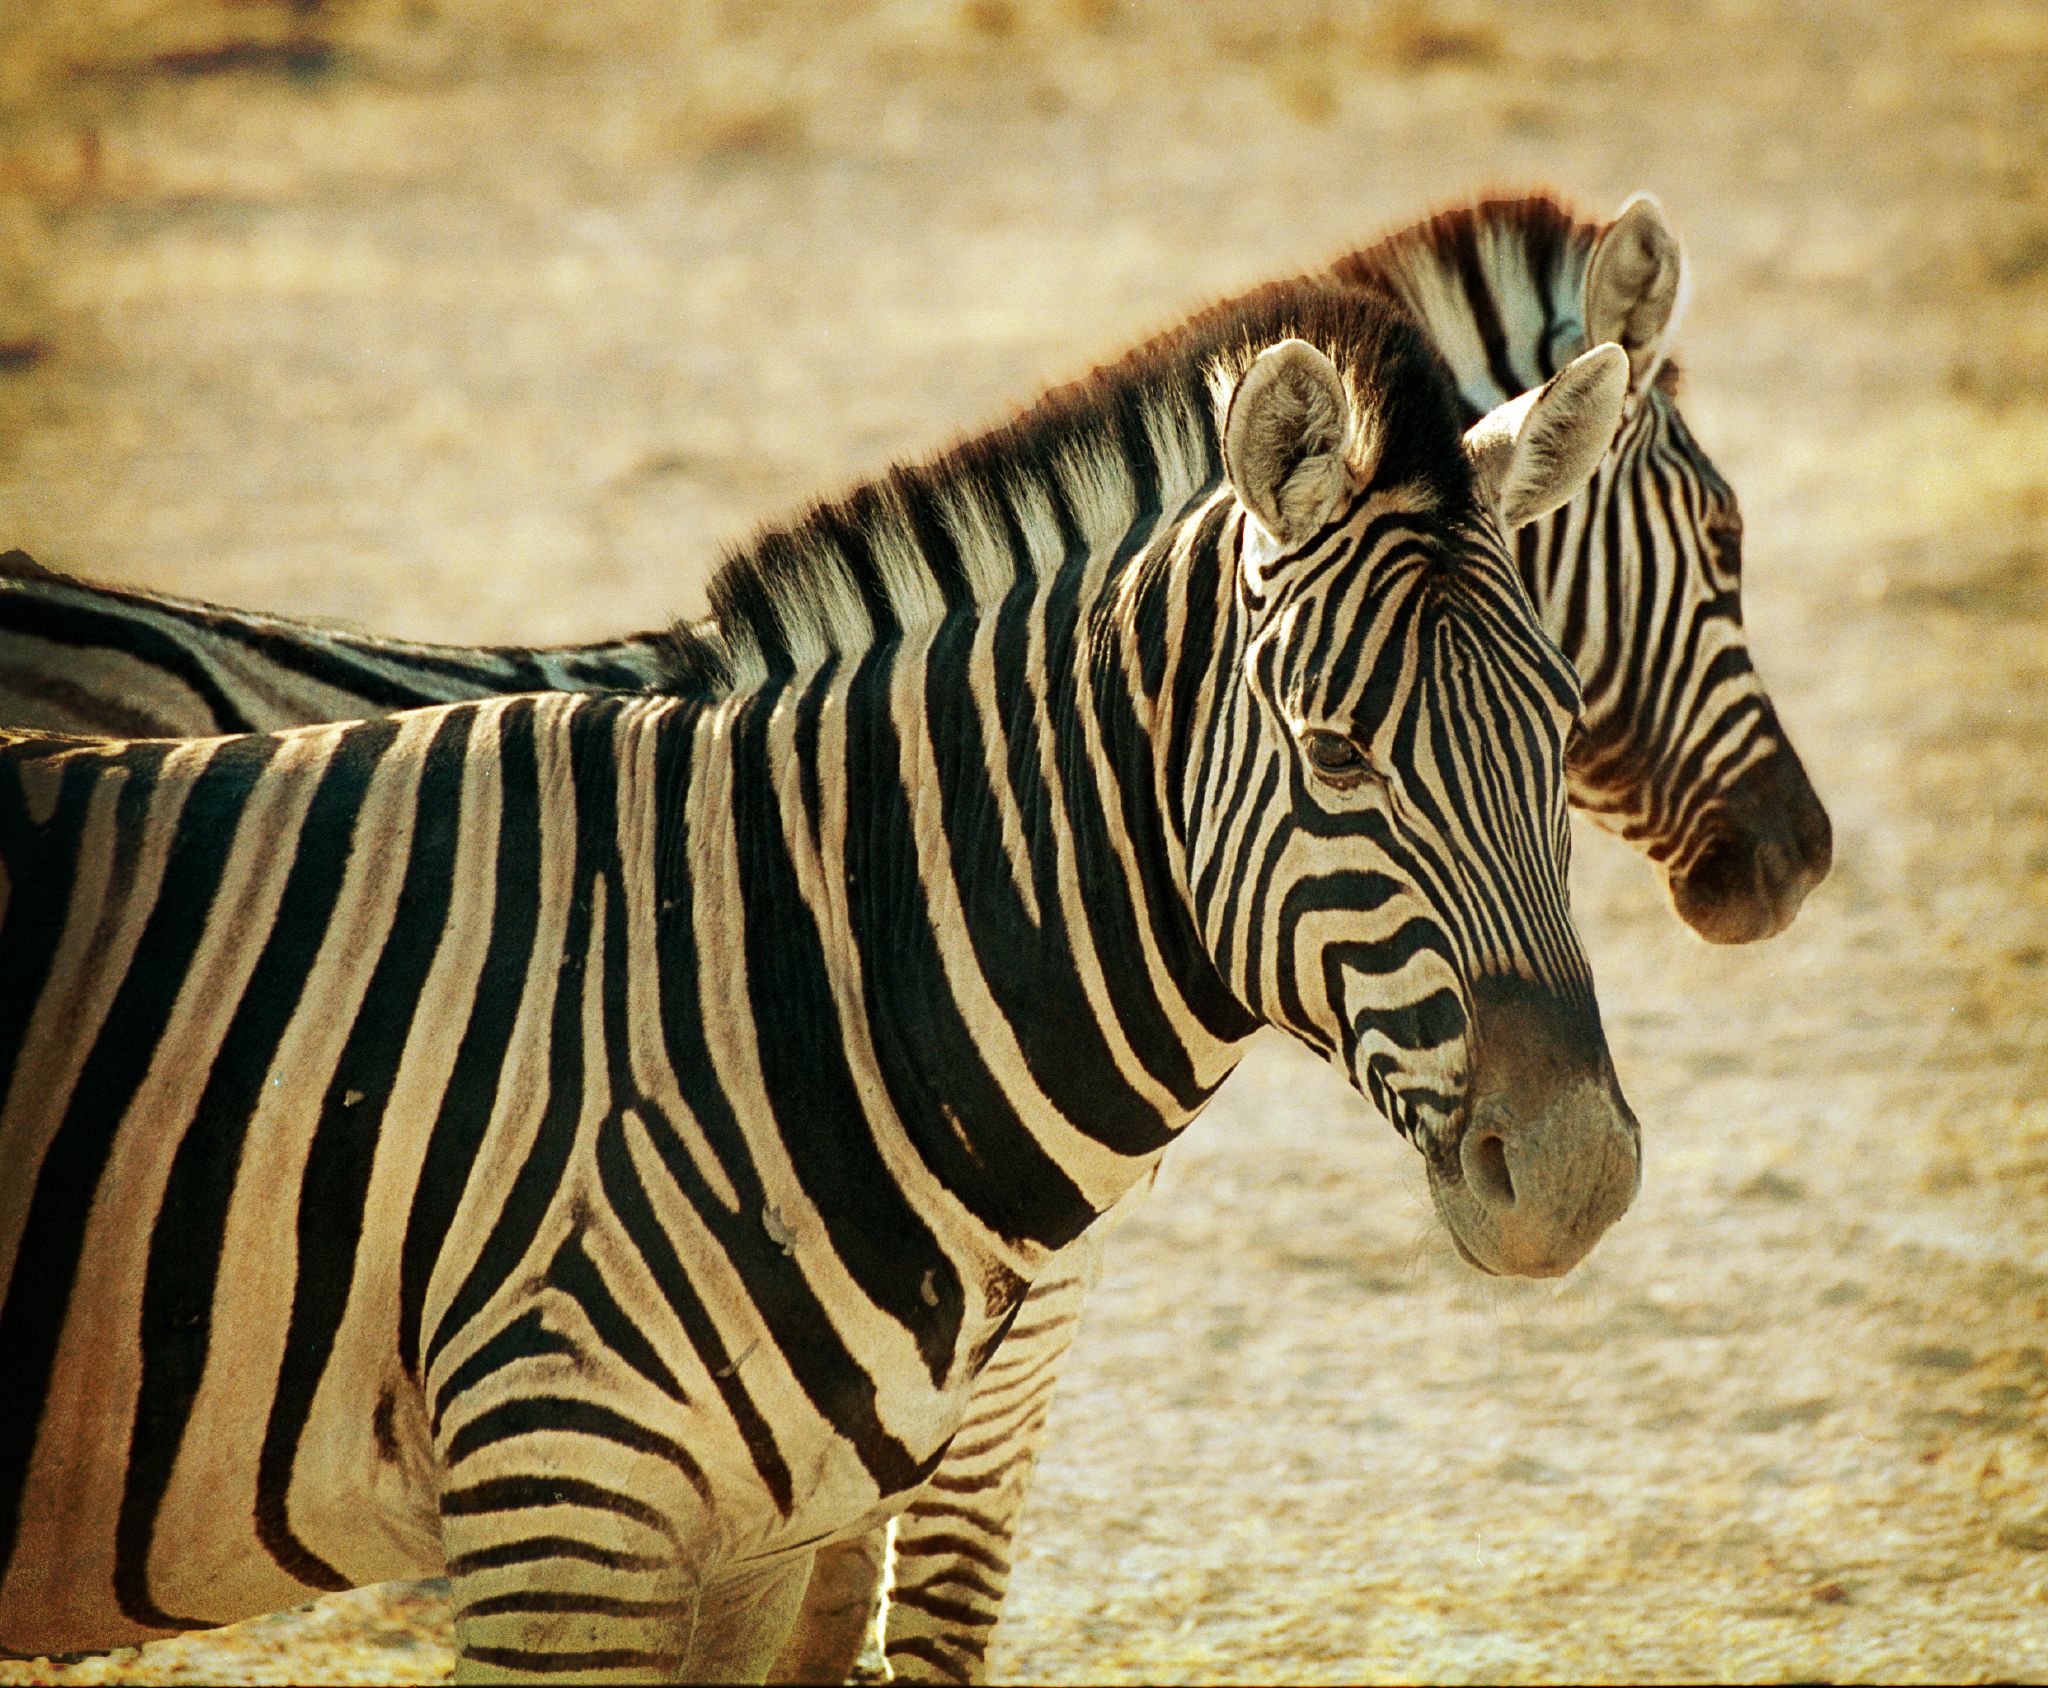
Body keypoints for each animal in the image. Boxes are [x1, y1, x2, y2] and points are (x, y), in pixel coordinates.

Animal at [0, 187, 1835, 1688]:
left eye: (1553, 724)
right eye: (1726, 537)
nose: (1798, 861)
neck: (840, 930)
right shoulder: (747, 1430)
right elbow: (929, 1626)